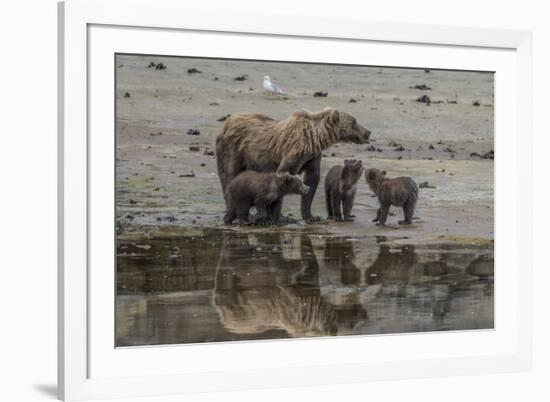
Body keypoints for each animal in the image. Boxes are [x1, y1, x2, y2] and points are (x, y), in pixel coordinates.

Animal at [215, 107, 370, 223]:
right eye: (354, 122)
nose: (368, 132)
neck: (315, 139)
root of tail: (225, 124)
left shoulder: (312, 157)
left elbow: (312, 180)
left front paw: (311, 217)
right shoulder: (294, 152)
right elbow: (284, 175)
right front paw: (276, 216)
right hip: (232, 149)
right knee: (228, 176)